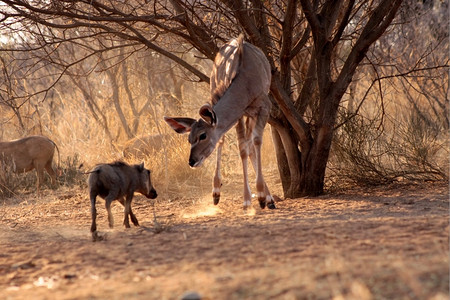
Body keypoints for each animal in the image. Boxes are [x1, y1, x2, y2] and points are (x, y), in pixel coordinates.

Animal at [163, 34, 274, 209]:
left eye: (203, 135)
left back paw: (268, 199)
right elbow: (242, 148)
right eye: (189, 138)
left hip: (250, 115)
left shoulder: (264, 106)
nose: (192, 161)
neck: (245, 84)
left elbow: (256, 141)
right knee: (227, 141)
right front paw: (247, 200)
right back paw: (216, 193)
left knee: (250, 144)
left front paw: (261, 196)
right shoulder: (239, 114)